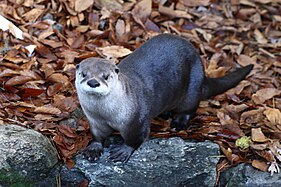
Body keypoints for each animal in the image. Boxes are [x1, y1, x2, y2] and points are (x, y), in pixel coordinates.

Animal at [75, 33, 254, 162]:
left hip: (192, 89)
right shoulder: (95, 121)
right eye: (83, 74)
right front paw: (93, 148)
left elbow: (136, 138)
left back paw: (178, 123)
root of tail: (203, 73)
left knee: (189, 109)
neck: (106, 114)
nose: (93, 82)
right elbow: (97, 135)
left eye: (106, 76)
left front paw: (123, 150)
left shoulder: (136, 122)